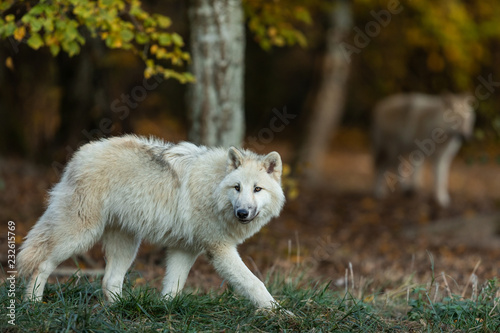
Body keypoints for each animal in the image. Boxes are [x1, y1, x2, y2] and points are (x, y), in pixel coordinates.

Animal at [17, 134, 286, 308]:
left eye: (257, 189)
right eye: (237, 187)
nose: (242, 213)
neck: (214, 187)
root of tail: (80, 154)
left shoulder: (185, 249)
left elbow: (173, 289)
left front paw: (165, 311)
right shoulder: (219, 250)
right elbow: (255, 283)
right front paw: (281, 314)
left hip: (127, 245)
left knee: (109, 280)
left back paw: (122, 310)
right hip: (80, 236)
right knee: (41, 264)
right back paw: (33, 304)